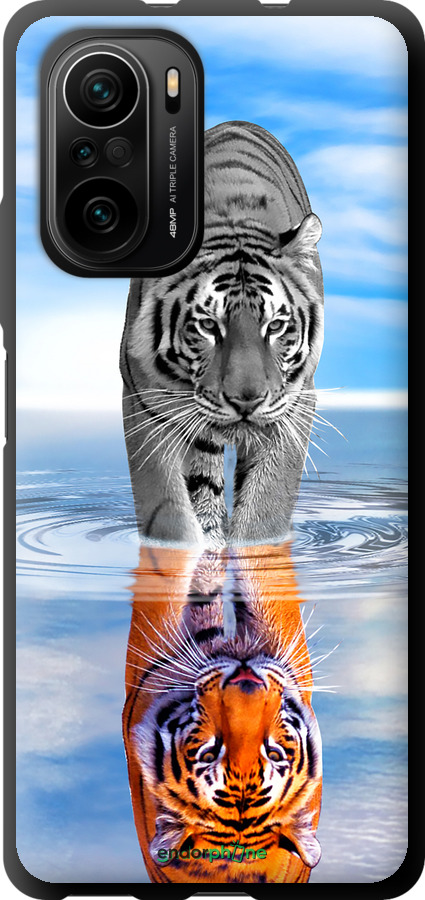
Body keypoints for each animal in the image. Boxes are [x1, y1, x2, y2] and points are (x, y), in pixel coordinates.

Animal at [120, 121, 324, 549]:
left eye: (275, 326)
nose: (247, 401)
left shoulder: (295, 404)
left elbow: (265, 509)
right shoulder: (144, 402)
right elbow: (168, 511)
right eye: (209, 326)